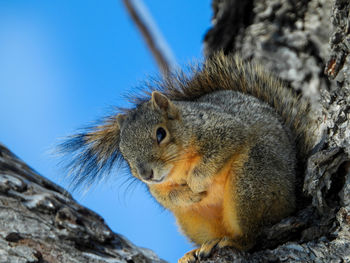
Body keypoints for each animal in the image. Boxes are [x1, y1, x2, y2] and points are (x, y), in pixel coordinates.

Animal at [59, 52, 318, 262]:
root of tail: (293, 200)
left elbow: (216, 155)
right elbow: (167, 197)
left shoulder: (226, 131)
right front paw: (190, 194)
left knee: (252, 236)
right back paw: (196, 251)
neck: (179, 167)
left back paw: (234, 240)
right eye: (123, 152)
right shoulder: (157, 188)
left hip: (253, 178)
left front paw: (197, 181)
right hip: (193, 221)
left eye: (161, 133)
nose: (146, 174)